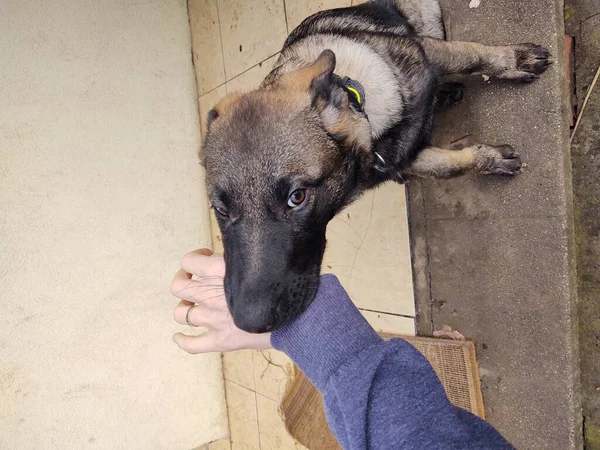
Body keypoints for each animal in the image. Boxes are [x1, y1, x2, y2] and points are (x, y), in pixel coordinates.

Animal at [203, 0, 552, 330]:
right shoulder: (408, 159)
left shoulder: (427, 52)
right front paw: (488, 160)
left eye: (297, 197)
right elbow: (451, 167)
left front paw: (513, 60)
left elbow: (473, 56)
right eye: (220, 209)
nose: (249, 322)